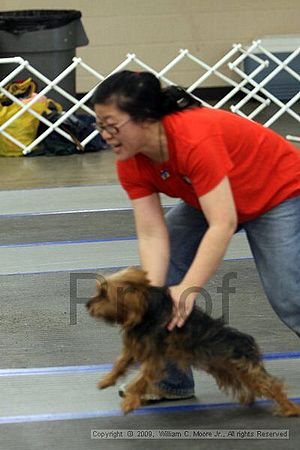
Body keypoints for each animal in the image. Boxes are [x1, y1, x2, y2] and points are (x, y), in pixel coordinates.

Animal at [85, 266, 298, 416]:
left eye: (104, 295)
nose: (87, 304)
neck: (147, 312)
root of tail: (248, 342)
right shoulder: (135, 347)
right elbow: (120, 363)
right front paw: (107, 379)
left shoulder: (154, 359)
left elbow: (140, 381)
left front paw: (129, 401)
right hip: (227, 371)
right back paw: (249, 399)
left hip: (244, 367)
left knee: (272, 385)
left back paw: (290, 408)